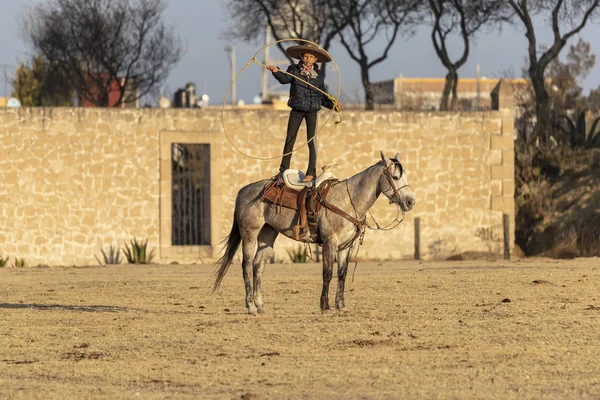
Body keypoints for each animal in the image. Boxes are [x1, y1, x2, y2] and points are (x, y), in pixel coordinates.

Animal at [213, 152, 414, 314]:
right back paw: (251, 307)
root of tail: (243, 191)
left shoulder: (346, 246)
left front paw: (341, 305)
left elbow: (342, 274)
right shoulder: (330, 243)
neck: (348, 200)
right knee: (247, 266)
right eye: (395, 176)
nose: (411, 201)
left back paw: (260, 305)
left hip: (268, 236)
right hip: (250, 234)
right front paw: (325, 306)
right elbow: (328, 273)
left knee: (258, 266)